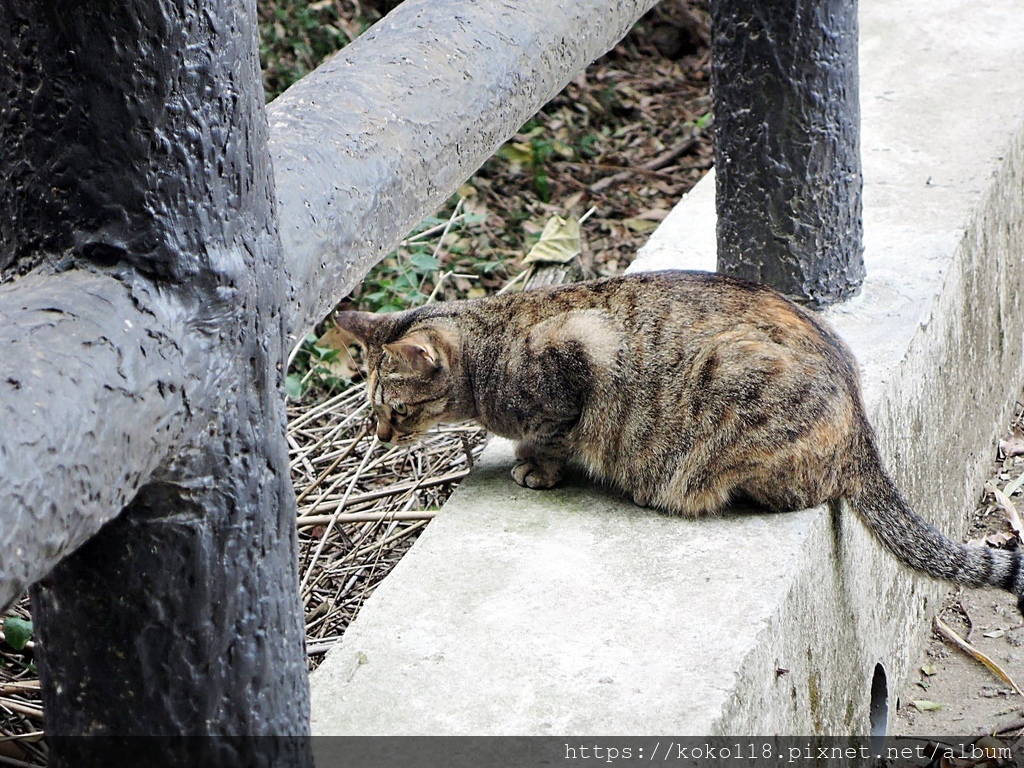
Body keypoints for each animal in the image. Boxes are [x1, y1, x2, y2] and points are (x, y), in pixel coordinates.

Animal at [335, 270, 1024, 614]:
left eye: (394, 408)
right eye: (372, 410)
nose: (380, 433)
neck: (488, 351)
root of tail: (860, 422)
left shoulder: (575, 365)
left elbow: (553, 439)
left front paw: (535, 468)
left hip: (734, 395)